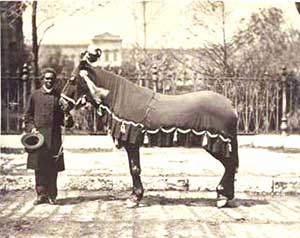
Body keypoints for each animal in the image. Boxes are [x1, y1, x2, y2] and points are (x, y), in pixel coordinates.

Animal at [60, 51, 239, 207]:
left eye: (72, 79)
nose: (61, 103)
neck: (119, 96)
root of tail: (231, 106)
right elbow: (134, 168)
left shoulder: (131, 143)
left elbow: (134, 169)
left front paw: (134, 198)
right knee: (230, 166)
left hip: (217, 144)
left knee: (230, 165)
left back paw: (222, 196)